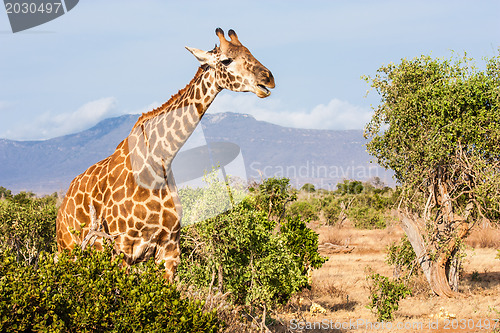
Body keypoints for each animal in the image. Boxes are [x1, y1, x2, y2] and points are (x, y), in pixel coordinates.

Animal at [56, 27, 276, 278]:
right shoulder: (121, 248)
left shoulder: (169, 248)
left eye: (250, 51)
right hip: (69, 250)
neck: (160, 158)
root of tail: (62, 206)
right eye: (227, 60)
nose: (268, 78)